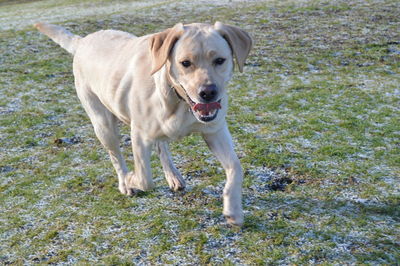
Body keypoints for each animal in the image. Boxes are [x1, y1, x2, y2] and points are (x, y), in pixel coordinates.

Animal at [35, 21, 253, 224]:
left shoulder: (215, 131)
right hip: (103, 125)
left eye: (220, 60)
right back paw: (125, 182)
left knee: (162, 146)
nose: (208, 93)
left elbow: (236, 168)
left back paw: (173, 176)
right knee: (116, 157)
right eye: (185, 63)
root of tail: (82, 41)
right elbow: (144, 178)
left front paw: (233, 209)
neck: (178, 100)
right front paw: (131, 179)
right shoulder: (139, 134)